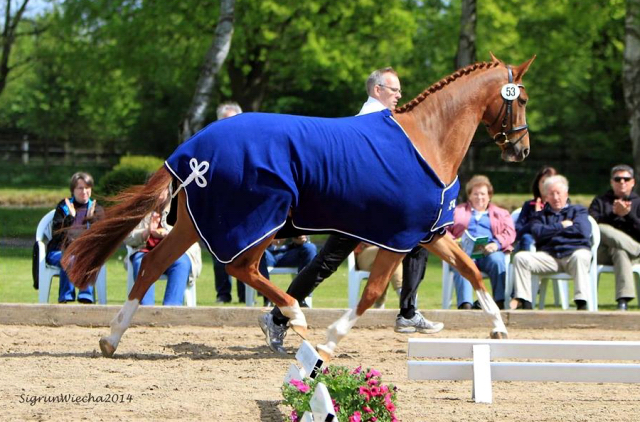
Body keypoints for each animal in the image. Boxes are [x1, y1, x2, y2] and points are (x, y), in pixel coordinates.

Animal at [63, 53, 536, 360]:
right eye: (523, 99)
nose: (522, 149)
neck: (427, 140)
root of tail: (191, 150)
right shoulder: (397, 238)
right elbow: (373, 292)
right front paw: (329, 340)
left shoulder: (429, 233)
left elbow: (471, 269)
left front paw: (498, 326)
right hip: (258, 221)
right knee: (241, 267)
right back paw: (293, 316)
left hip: (197, 225)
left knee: (153, 263)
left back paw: (112, 339)